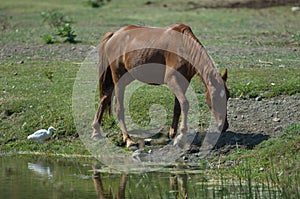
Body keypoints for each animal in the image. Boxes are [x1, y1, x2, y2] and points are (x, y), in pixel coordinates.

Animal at [91, 22, 230, 148]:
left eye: (228, 96)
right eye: (215, 97)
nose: (224, 126)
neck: (183, 46)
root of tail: (114, 34)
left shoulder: (183, 82)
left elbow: (178, 107)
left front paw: (173, 134)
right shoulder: (172, 80)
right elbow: (185, 104)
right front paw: (181, 137)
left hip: (122, 79)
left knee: (104, 99)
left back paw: (96, 131)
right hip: (119, 79)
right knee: (118, 108)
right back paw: (128, 140)